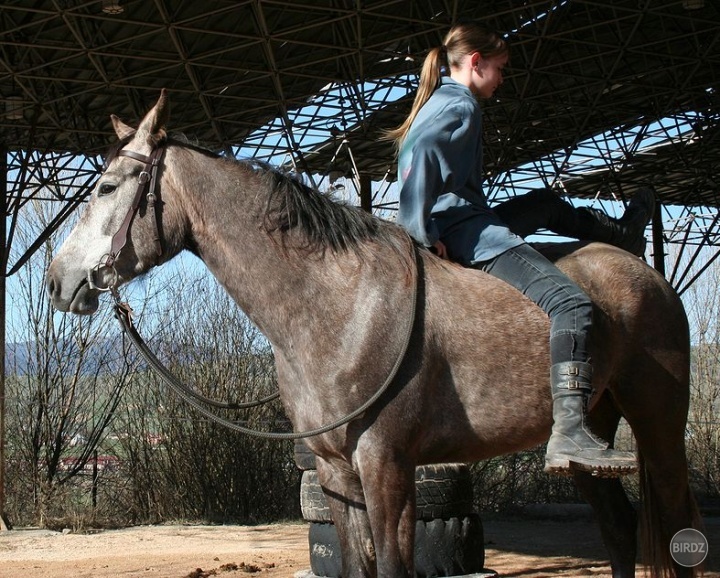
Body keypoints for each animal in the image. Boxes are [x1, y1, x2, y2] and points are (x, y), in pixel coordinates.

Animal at [47, 90, 700, 576]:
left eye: (107, 188)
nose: (57, 280)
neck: (339, 306)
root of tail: (643, 270)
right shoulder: (337, 473)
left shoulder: (386, 465)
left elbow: (390, 566)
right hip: (596, 431)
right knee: (618, 529)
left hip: (660, 423)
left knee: (676, 524)